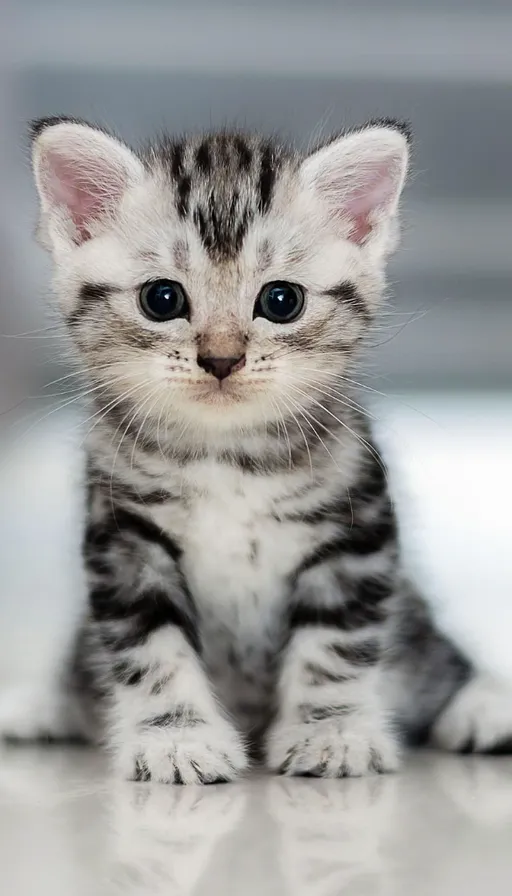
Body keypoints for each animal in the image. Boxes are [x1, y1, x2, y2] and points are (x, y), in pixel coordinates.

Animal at [2, 115, 510, 780]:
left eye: (281, 300)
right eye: (162, 298)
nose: (221, 359)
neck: (226, 457)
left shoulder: (355, 530)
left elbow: (335, 646)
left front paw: (331, 732)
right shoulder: (123, 537)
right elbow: (151, 648)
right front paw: (178, 739)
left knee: (434, 660)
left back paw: (482, 708)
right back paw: (38, 706)